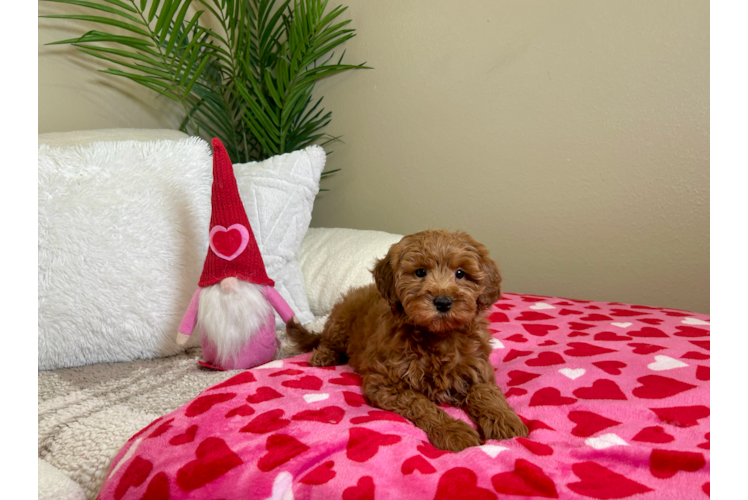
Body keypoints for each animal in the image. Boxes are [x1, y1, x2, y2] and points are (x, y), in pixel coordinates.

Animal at [286, 229, 524, 452]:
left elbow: (487, 394)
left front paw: (505, 421)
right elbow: (421, 403)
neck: (438, 335)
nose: (443, 302)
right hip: (341, 321)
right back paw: (323, 354)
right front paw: (452, 430)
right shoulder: (385, 383)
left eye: (460, 273)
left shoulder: (478, 368)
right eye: (420, 272)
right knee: (327, 339)